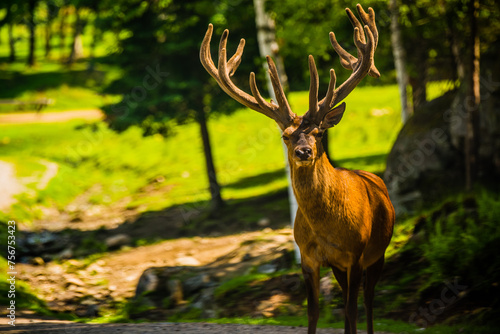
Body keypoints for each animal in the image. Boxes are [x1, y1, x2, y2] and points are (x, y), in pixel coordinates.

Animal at [199, 4, 394, 334]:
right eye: (286, 136)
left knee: (368, 302)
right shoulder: (309, 258)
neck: (326, 228)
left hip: (377, 252)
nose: (304, 151)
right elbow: (313, 312)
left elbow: (351, 311)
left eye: (319, 132)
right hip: (342, 266)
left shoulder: (355, 254)